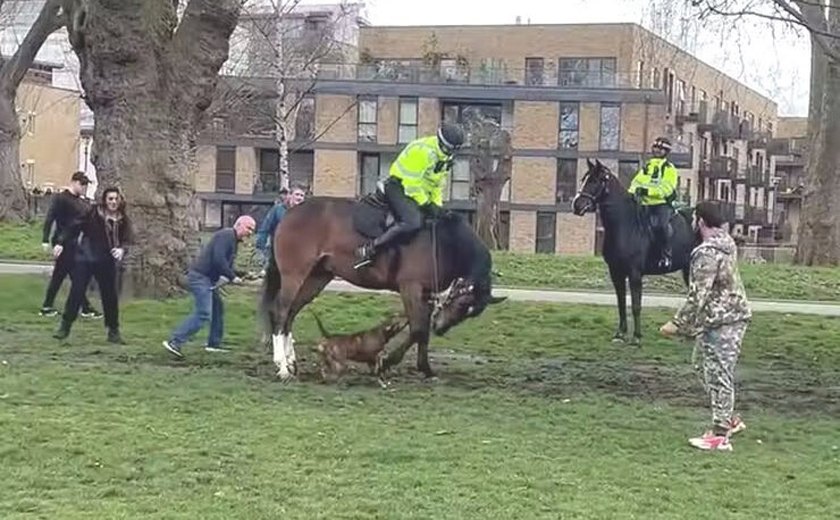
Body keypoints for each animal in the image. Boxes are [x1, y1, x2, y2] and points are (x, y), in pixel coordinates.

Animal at [260, 195, 506, 382]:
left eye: (471, 313)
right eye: (463, 302)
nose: (441, 328)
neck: (445, 243)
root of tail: (288, 213)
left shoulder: (425, 294)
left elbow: (422, 332)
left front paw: (425, 368)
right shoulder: (411, 288)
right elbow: (418, 330)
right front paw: (388, 362)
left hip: (316, 278)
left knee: (291, 314)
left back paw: (291, 362)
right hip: (294, 275)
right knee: (280, 312)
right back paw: (282, 367)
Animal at [572, 158, 696, 346]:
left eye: (595, 180)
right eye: (583, 179)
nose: (577, 205)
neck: (626, 225)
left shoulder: (634, 273)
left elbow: (636, 305)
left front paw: (637, 337)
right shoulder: (616, 272)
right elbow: (621, 303)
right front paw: (620, 334)